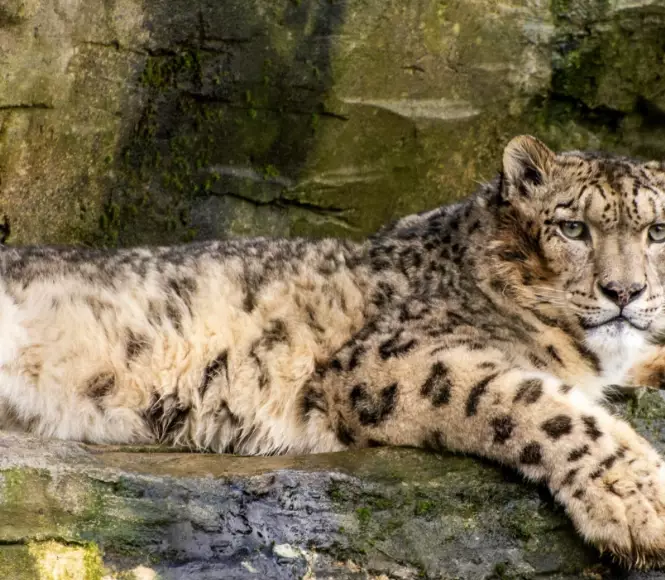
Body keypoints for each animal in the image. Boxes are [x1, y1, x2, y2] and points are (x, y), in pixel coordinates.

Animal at [1, 135, 665, 567]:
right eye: (573, 228)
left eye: (656, 231)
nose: (625, 291)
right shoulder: (395, 360)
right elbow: (542, 406)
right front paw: (643, 504)